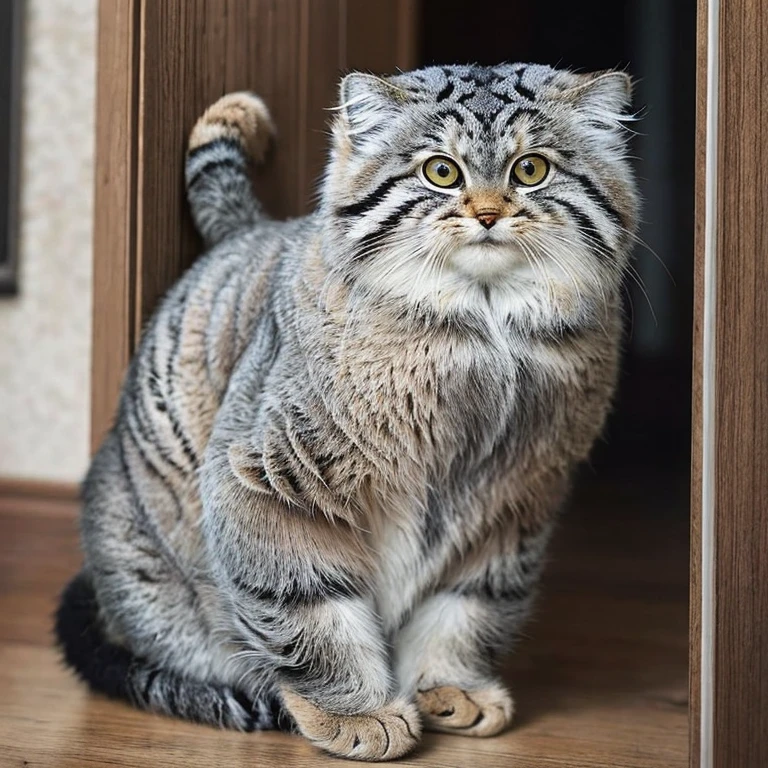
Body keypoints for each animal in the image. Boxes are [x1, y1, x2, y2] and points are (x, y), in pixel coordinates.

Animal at [57, 63, 640, 760]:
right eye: (440, 172)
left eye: (530, 169)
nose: (488, 213)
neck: (486, 333)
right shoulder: (268, 484)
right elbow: (314, 614)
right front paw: (357, 713)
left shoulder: (508, 507)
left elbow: (465, 608)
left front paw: (449, 686)